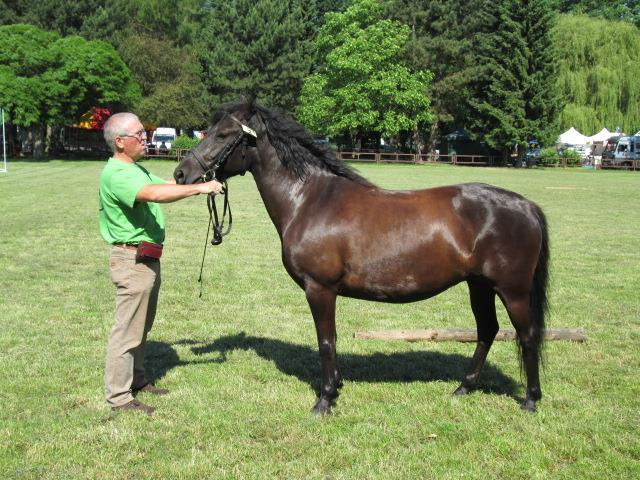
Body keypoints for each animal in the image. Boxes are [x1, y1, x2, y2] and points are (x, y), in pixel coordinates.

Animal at [175, 99, 552, 414]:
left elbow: (326, 341)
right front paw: (336, 387)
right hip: (479, 286)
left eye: (224, 134)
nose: (181, 173)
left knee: (528, 335)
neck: (309, 199)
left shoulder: (320, 289)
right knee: (487, 330)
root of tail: (527, 206)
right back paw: (464, 388)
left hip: (512, 290)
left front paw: (325, 399)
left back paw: (531, 400)